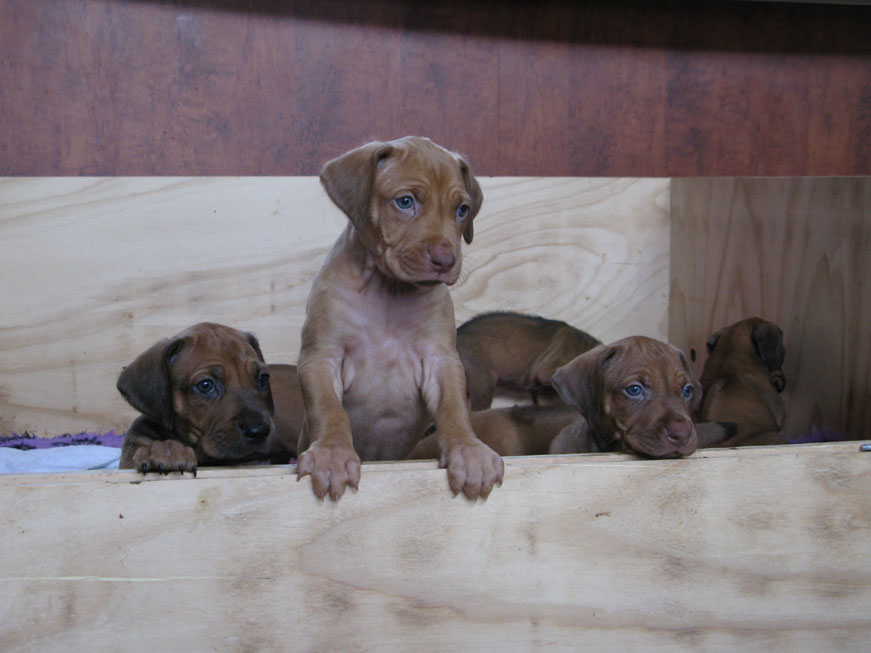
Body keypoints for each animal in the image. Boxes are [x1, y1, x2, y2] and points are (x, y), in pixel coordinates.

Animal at [296, 136, 503, 501]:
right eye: (405, 202)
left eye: (462, 210)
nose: (445, 260)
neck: (389, 291)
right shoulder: (321, 358)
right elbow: (329, 409)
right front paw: (332, 454)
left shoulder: (441, 360)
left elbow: (454, 408)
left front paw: (468, 451)